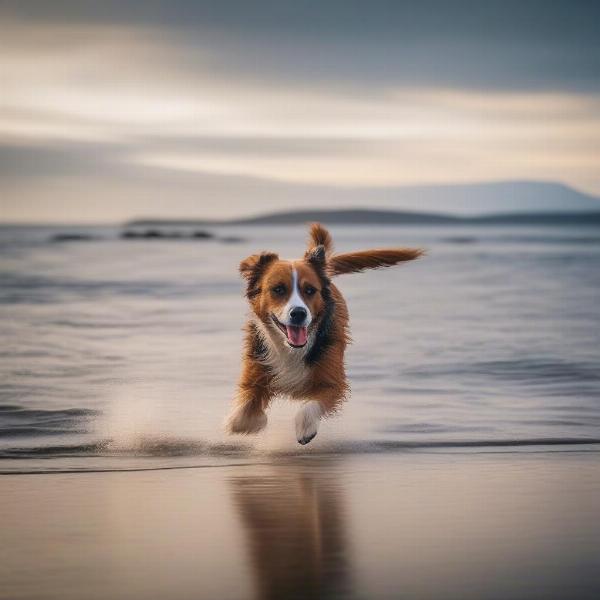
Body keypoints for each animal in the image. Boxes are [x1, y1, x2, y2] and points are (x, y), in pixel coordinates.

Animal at [225, 225, 422, 446]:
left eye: (310, 290)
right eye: (278, 289)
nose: (299, 313)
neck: (291, 350)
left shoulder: (332, 380)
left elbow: (311, 405)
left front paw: (305, 428)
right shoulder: (256, 369)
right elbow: (243, 413)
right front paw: (252, 421)